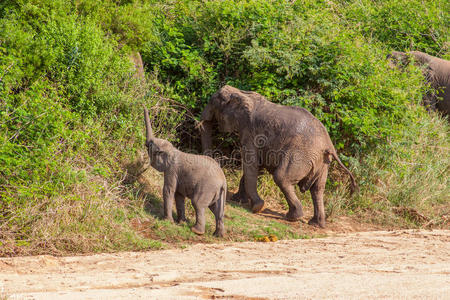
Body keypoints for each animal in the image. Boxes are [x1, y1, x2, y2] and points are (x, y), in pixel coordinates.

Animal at [144, 105, 227, 237]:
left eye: (151, 144)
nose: (144, 105)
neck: (172, 150)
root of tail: (223, 180)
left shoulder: (172, 170)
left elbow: (169, 190)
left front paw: (168, 221)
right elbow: (179, 195)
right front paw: (181, 222)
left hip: (207, 188)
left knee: (198, 203)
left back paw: (196, 231)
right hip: (218, 192)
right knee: (217, 211)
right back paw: (218, 235)